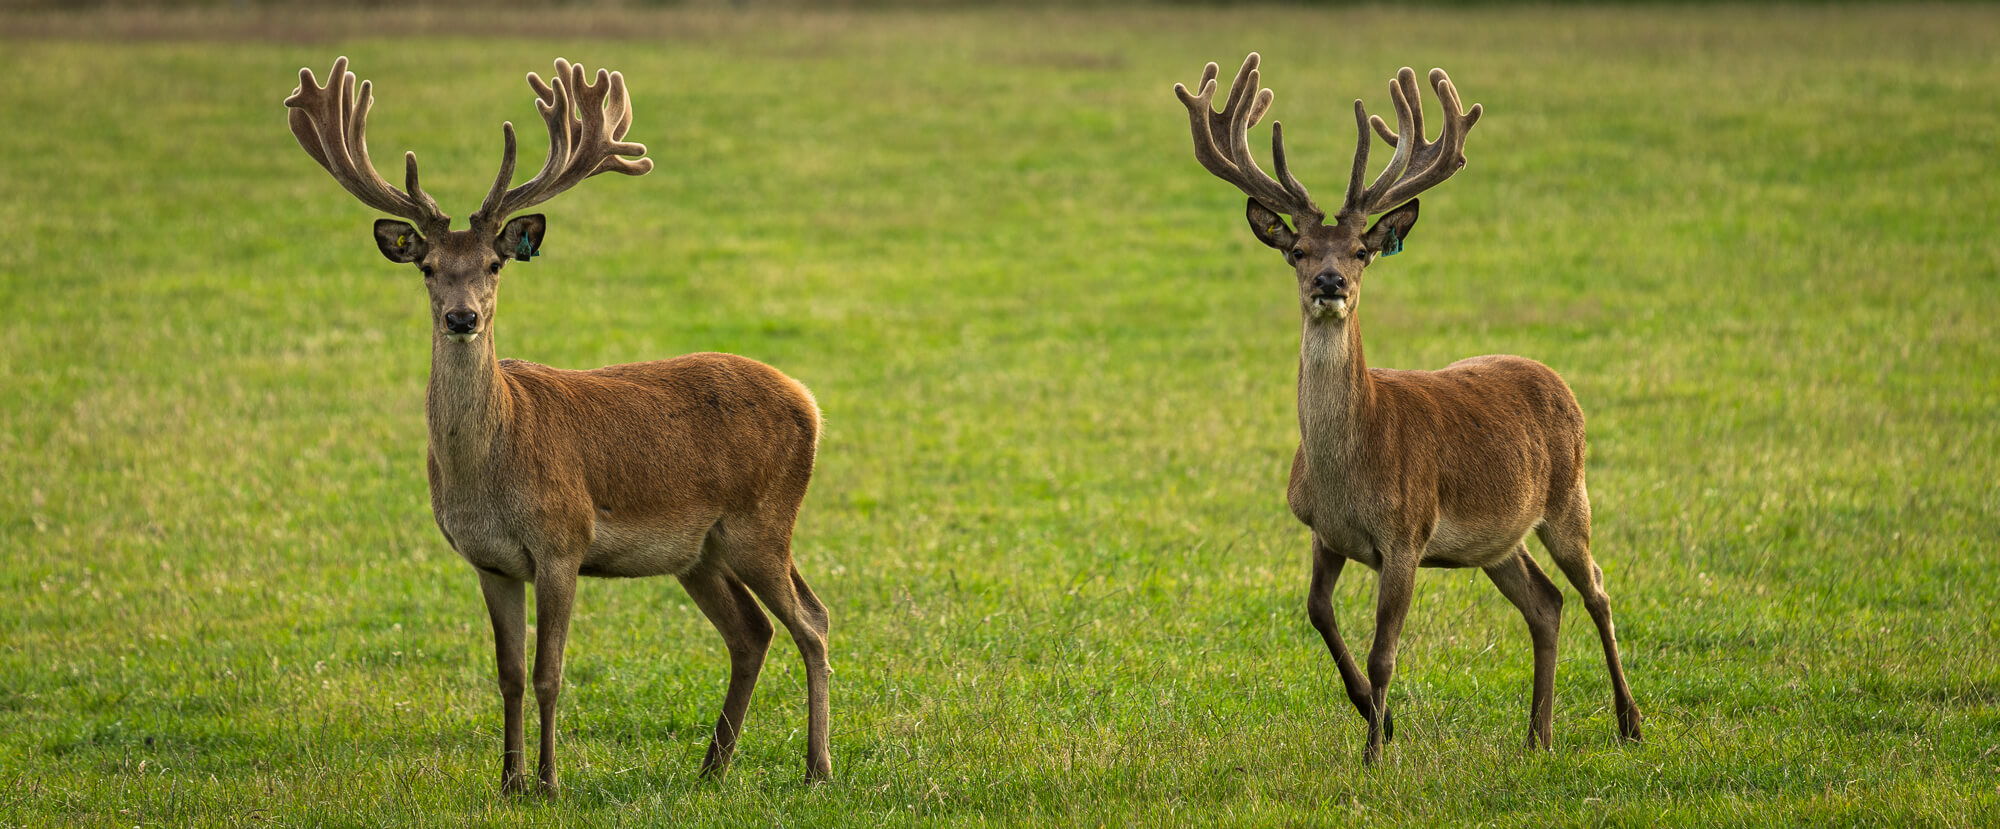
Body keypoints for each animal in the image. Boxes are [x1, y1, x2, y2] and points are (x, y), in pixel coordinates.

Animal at [286, 55, 832, 792]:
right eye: (428, 267)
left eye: (494, 263)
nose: (462, 316)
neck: (490, 468)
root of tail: (809, 400)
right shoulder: (488, 559)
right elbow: (509, 675)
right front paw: (509, 782)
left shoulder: (562, 541)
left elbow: (550, 672)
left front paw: (548, 781)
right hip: (700, 550)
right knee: (752, 632)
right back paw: (711, 767)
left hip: (764, 520)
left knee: (812, 619)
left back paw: (816, 766)